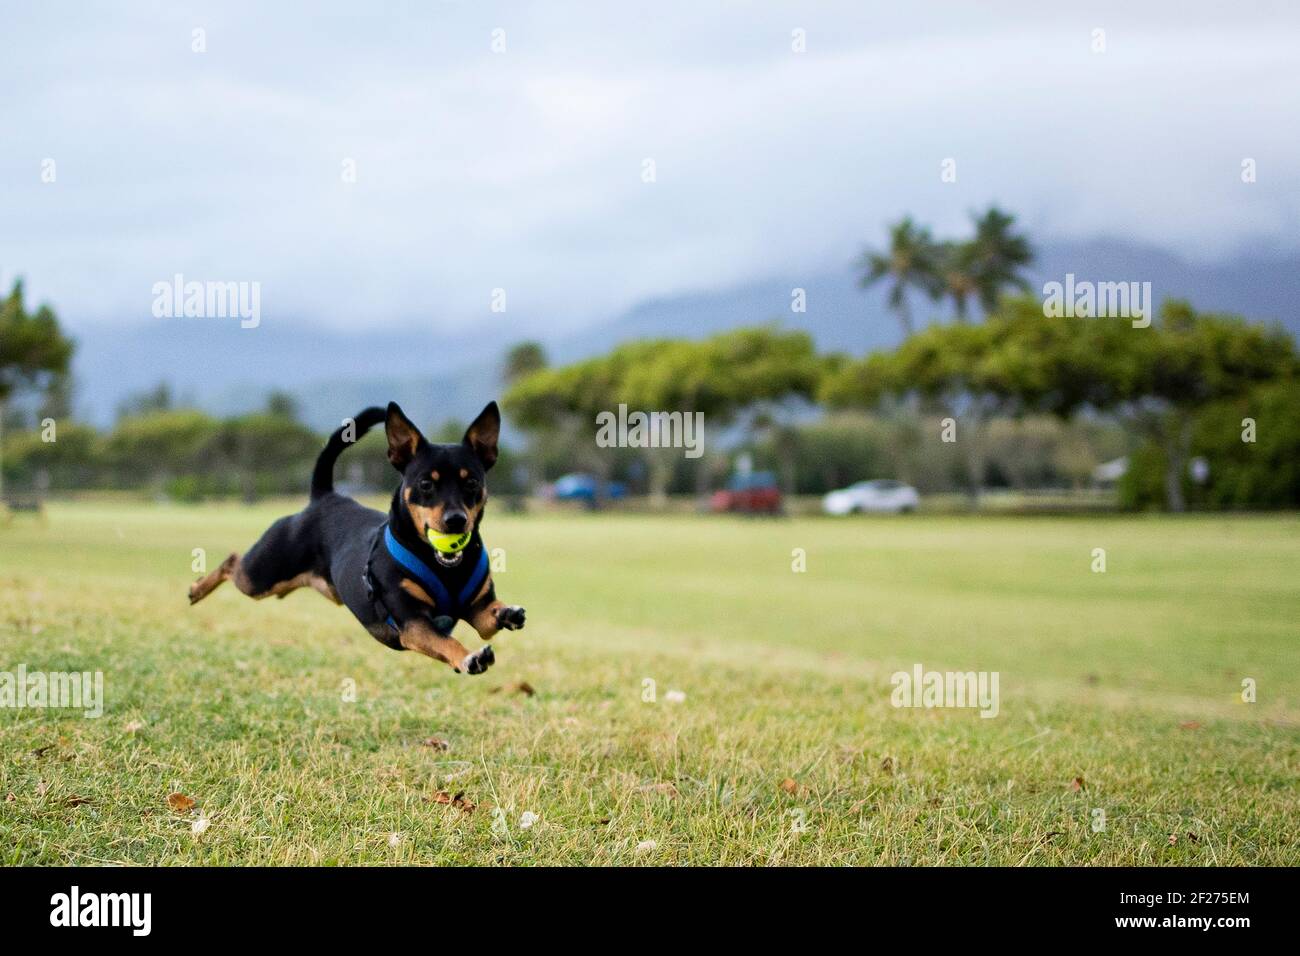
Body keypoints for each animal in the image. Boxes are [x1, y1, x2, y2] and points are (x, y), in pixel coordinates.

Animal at [188, 400, 522, 676]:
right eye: (426, 484)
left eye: (472, 483)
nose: (456, 520)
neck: (445, 568)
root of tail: (323, 497)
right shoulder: (413, 624)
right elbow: (446, 641)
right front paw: (469, 657)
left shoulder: (478, 611)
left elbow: (490, 617)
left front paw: (507, 612)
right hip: (261, 576)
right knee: (232, 561)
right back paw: (197, 590)